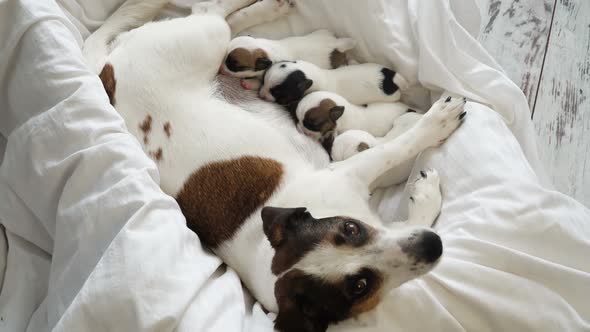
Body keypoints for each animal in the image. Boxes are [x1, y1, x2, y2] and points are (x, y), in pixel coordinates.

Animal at [85, 0, 470, 332]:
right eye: (360, 286)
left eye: (349, 229)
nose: (434, 246)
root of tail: (107, 71)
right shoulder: (350, 174)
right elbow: (397, 150)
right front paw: (436, 128)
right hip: (203, 36)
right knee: (210, 11)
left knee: (222, 22)